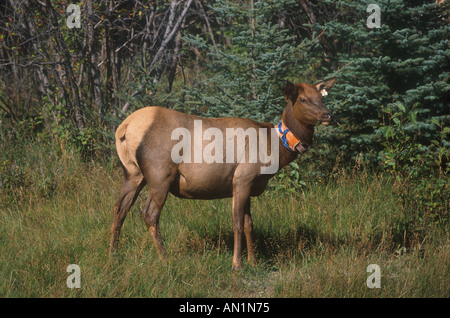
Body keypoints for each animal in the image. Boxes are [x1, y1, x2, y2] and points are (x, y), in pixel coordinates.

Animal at [110, 77, 334, 268]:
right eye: (303, 99)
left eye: (321, 96)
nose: (328, 114)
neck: (275, 149)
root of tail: (124, 129)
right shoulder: (242, 178)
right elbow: (237, 223)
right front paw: (237, 264)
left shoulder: (249, 183)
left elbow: (249, 224)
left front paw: (253, 261)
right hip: (159, 174)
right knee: (149, 213)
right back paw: (165, 258)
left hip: (133, 173)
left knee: (120, 208)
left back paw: (114, 254)